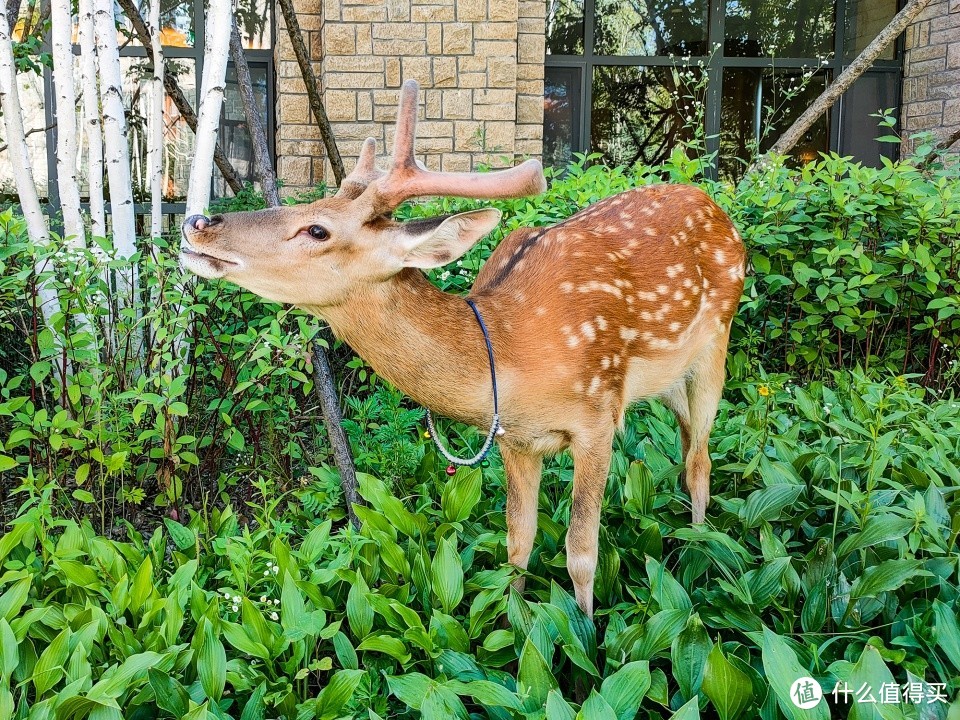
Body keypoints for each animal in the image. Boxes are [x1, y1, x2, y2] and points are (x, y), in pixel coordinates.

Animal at [182, 80, 752, 620]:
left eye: (317, 229)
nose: (197, 223)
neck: (509, 352)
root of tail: (720, 212)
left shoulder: (597, 419)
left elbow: (580, 553)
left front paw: (585, 635)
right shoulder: (516, 440)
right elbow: (518, 541)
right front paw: (517, 621)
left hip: (716, 344)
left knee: (700, 462)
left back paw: (701, 550)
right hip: (667, 381)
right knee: (687, 445)